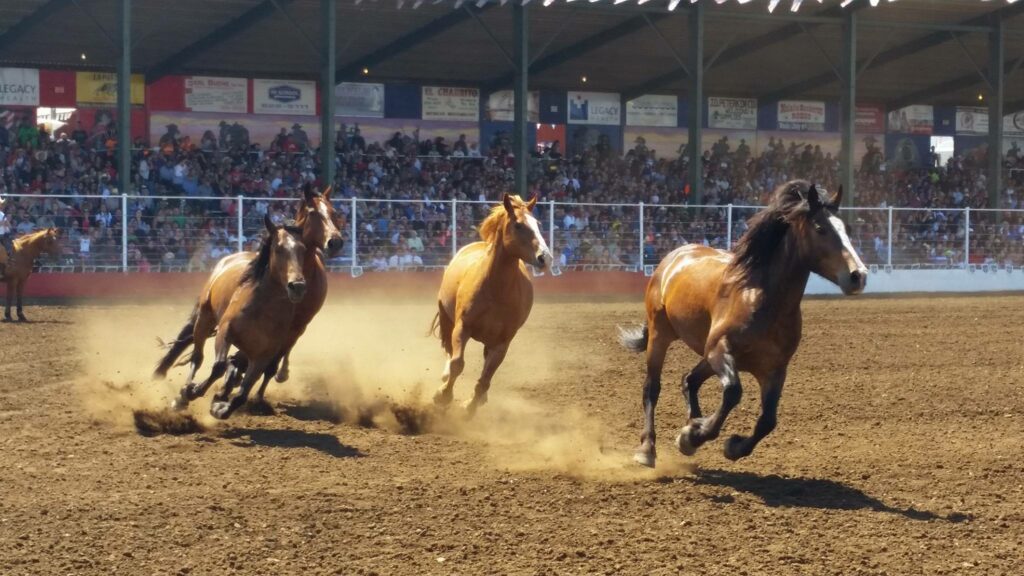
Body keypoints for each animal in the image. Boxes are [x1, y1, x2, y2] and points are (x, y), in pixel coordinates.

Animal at [155, 215, 305, 416]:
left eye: (303, 249)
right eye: (278, 249)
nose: (298, 286)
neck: (262, 310)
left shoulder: (263, 355)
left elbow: (242, 393)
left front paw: (220, 405)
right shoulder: (226, 332)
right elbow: (218, 367)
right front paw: (192, 391)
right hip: (205, 318)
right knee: (197, 357)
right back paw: (182, 395)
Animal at [432, 194, 552, 414]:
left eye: (538, 224)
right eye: (518, 225)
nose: (545, 258)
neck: (496, 289)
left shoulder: (502, 342)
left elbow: (485, 379)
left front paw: (470, 406)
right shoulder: (462, 327)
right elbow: (457, 364)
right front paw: (443, 395)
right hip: (446, 318)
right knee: (448, 350)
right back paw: (444, 380)